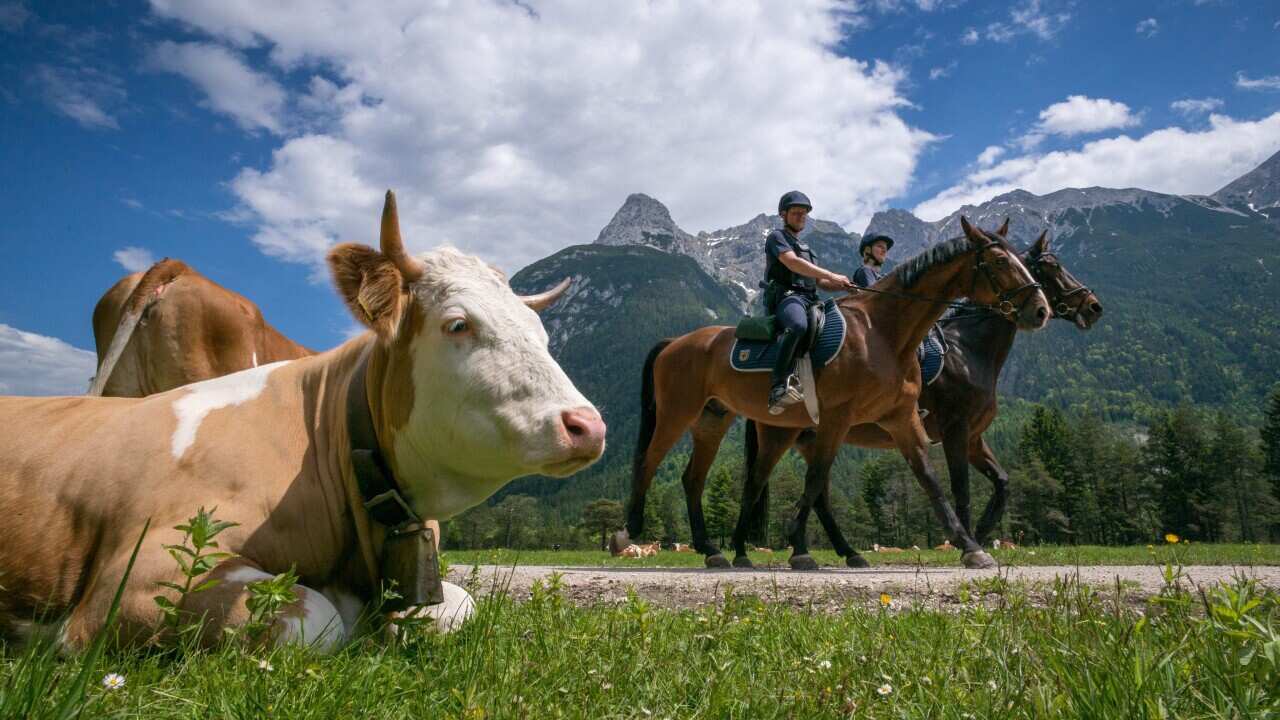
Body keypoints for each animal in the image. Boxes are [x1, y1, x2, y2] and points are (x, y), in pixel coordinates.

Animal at [0, 191, 606, 652]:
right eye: (457, 324)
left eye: (543, 335)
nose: (588, 426)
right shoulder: (141, 578)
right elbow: (318, 619)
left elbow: (459, 607)